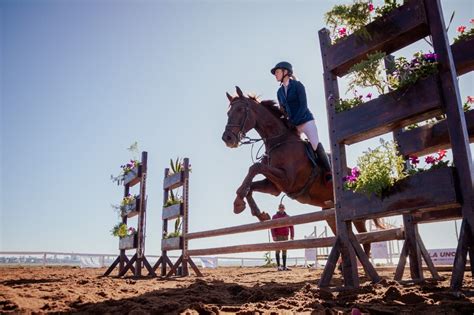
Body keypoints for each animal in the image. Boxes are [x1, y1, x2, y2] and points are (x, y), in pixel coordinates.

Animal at [220, 86, 384, 254]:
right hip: (330, 213)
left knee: (365, 238)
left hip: (355, 213)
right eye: (228, 113)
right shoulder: (274, 187)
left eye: (240, 110)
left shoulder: (288, 181)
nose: (227, 138)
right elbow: (251, 185)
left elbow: (255, 168)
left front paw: (238, 202)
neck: (279, 141)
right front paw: (259, 213)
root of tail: (360, 176)